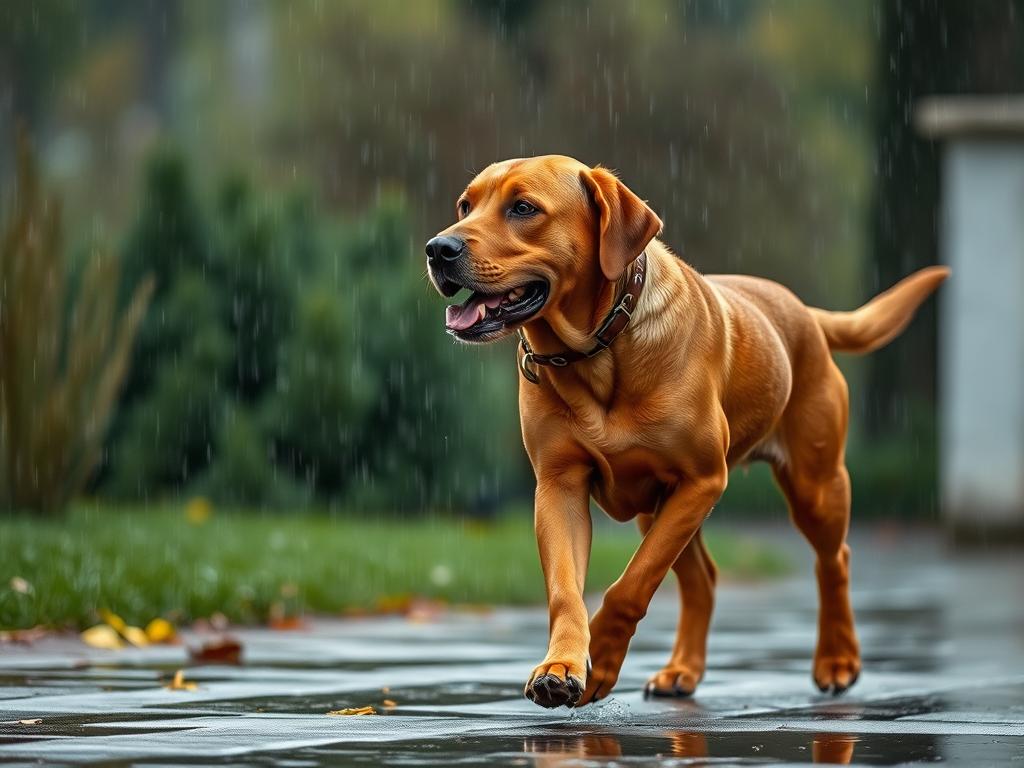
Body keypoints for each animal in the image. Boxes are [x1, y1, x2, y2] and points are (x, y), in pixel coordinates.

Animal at [425, 154, 950, 708]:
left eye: (523, 208)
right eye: (465, 206)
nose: (438, 248)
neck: (598, 350)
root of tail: (805, 314)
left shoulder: (702, 479)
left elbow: (630, 585)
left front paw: (601, 662)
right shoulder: (559, 485)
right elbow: (567, 591)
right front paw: (562, 665)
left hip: (815, 486)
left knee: (834, 560)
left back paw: (837, 660)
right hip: (658, 507)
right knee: (703, 579)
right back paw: (683, 670)